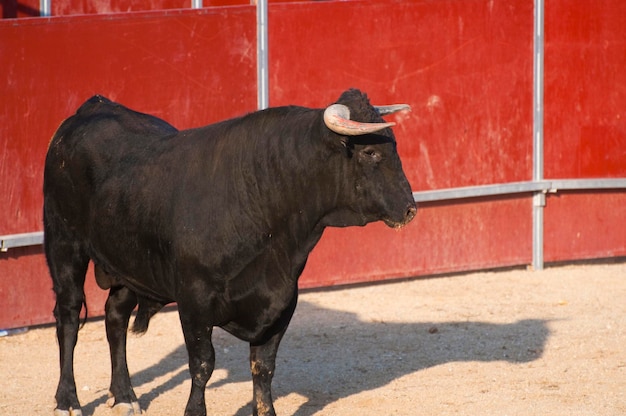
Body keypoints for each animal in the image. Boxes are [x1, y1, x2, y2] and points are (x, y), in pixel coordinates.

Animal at [42, 88, 414, 416]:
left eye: (395, 146)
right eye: (370, 153)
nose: (410, 209)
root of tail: (91, 108)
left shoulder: (282, 303)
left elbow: (263, 367)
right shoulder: (194, 302)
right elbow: (202, 363)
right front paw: (194, 411)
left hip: (126, 264)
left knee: (115, 317)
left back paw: (124, 397)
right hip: (64, 243)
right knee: (69, 317)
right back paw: (67, 401)